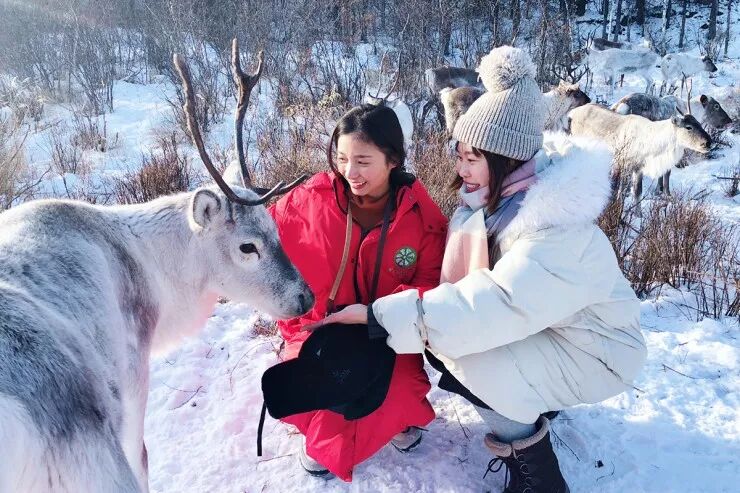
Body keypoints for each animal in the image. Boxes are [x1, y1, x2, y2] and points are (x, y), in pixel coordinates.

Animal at [0, 39, 313, 493]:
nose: (306, 297)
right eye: (247, 246)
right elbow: (144, 455)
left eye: (276, 227)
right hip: (90, 452)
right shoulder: (132, 372)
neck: (151, 271)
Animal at [567, 103, 712, 204]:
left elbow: (637, 192)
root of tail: (572, 112)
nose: (708, 142)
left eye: (700, 124)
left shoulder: (638, 168)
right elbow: (615, 188)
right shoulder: (620, 162)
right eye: (688, 127)